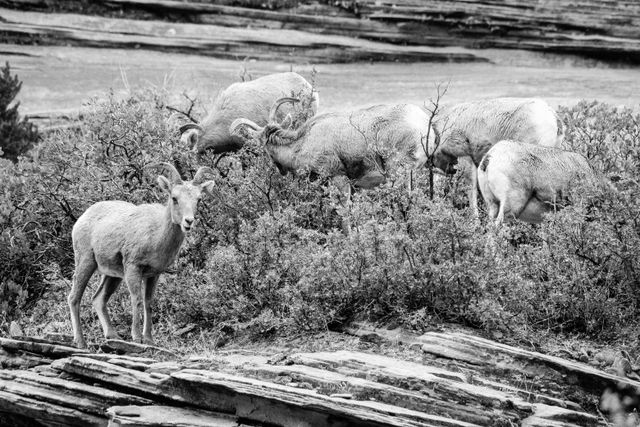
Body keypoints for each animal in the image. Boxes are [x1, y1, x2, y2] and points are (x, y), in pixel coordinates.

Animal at [68, 163, 215, 348]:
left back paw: (113, 336)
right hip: (86, 261)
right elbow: (136, 300)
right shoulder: (133, 268)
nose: (188, 221)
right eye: (174, 198)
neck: (156, 235)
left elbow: (148, 303)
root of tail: (81, 219)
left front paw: (150, 340)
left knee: (98, 299)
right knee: (74, 297)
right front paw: (137, 337)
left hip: (112, 275)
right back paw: (81, 342)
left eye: (199, 199)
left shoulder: (154, 274)